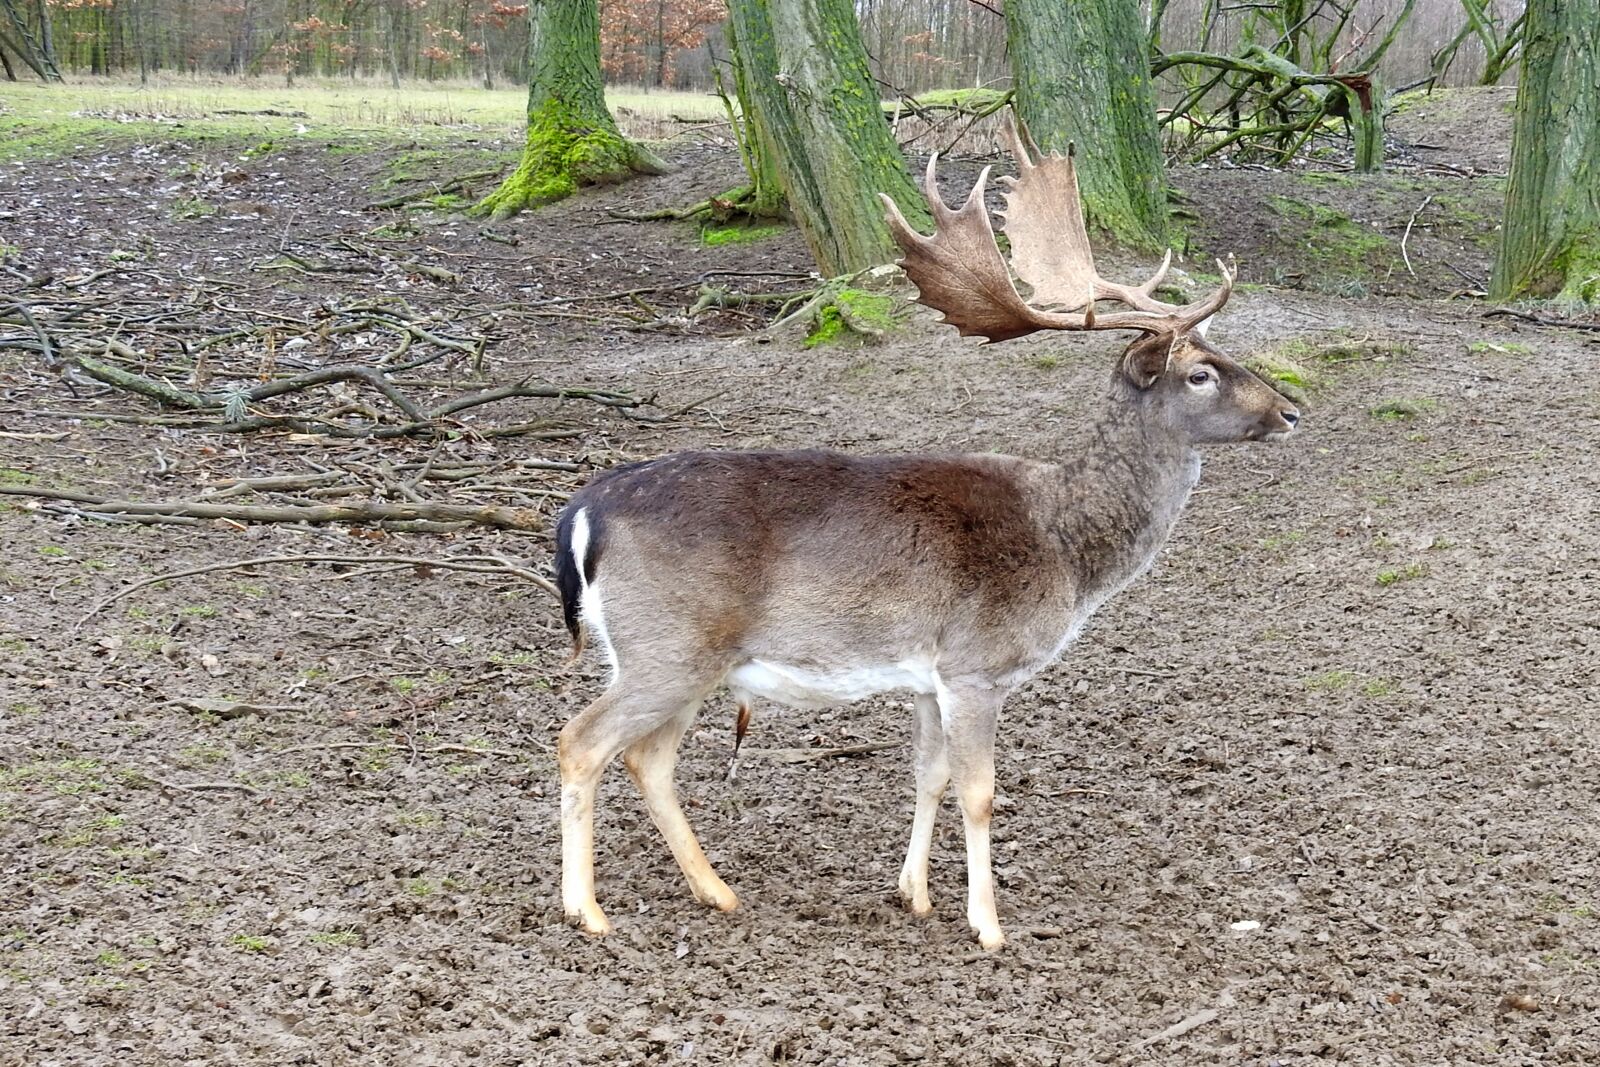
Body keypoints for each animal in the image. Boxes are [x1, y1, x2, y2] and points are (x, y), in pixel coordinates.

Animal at [550, 115, 1299, 950]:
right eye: (1200, 372)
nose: (1290, 409)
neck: (1067, 549)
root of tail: (582, 513)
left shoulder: (927, 677)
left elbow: (928, 774)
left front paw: (914, 893)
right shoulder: (978, 663)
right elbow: (981, 791)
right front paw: (988, 924)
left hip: (682, 656)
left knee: (647, 757)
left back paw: (717, 891)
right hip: (669, 643)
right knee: (581, 741)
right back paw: (587, 909)